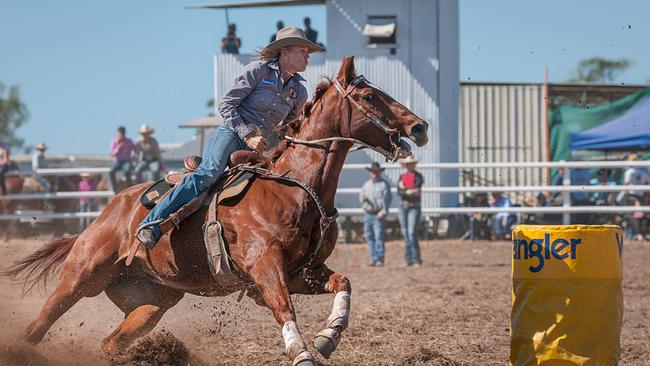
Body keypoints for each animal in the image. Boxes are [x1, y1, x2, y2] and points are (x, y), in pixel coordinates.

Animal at [3, 55, 430, 364]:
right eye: (370, 97)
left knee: (112, 342)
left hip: (153, 301)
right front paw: (303, 354)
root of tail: (109, 211)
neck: (294, 188)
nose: (420, 126)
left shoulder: (303, 272)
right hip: (83, 274)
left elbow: (344, 283)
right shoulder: (265, 268)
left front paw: (326, 339)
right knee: (40, 325)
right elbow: (285, 311)